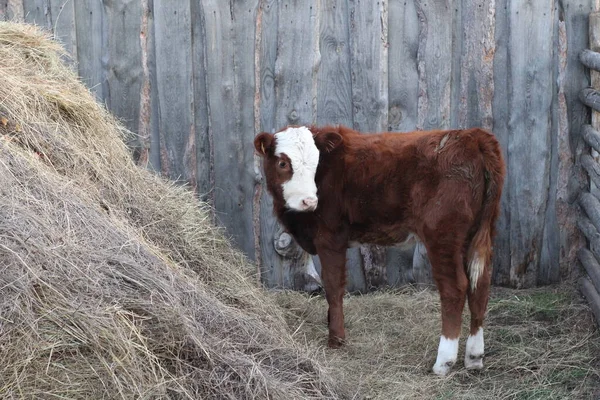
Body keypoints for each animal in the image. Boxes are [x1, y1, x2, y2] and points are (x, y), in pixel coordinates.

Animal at [254, 125, 506, 376]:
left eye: (316, 163)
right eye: (283, 163)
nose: (309, 201)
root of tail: (471, 135)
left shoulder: (330, 238)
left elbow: (333, 287)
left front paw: (336, 339)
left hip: (442, 235)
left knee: (455, 288)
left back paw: (444, 362)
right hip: (481, 233)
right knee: (480, 285)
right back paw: (474, 357)